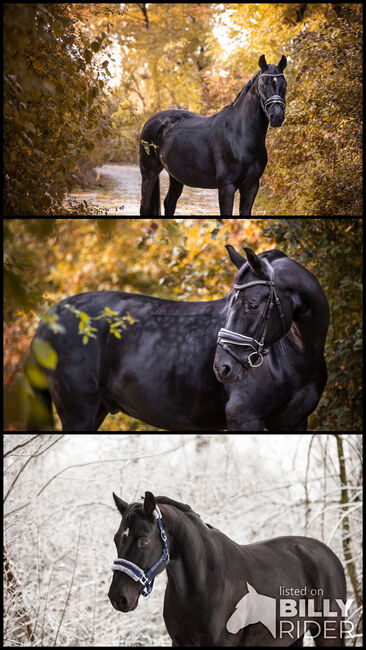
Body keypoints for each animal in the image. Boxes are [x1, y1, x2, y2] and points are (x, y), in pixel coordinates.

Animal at [29, 246, 328, 428]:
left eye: (252, 305)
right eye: (231, 302)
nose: (223, 367)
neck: (296, 357)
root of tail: (48, 319)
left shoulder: (294, 422)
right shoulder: (244, 416)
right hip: (79, 412)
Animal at [108, 492, 346, 644]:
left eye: (143, 540)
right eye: (116, 539)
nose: (118, 597)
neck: (202, 583)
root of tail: (328, 554)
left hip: (328, 631)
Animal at [139, 54, 286, 216]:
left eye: (284, 84)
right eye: (262, 85)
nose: (276, 116)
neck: (239, 135)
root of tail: (151, 121)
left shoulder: (251, 186)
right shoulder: (227, 186)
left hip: (175, 176)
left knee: (169, 204)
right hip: (149, 172)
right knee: (145, 206)